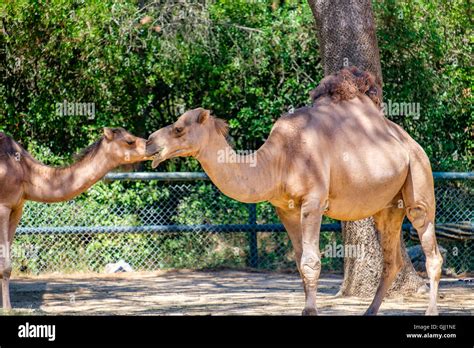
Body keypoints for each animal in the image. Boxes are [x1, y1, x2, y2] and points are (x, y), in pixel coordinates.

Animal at [0, 127, 148, 308]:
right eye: (129, 141)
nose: (150, 144)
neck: (24, 170)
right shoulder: (3, 206)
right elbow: (5, 264)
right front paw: (8, 308)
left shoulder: (17, 207)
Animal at [145, 68, 444, 316]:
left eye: (178, 128)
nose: (149, 142)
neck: (280, 159)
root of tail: (409, 141)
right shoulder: (285, 209)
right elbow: (300, 262)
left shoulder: (313, 202)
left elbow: (311, 262)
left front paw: (310, 311)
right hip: (388, 207)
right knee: (391, 259)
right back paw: (369, 312)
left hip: (419, 178)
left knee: (431, 247)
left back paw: (430, 311)